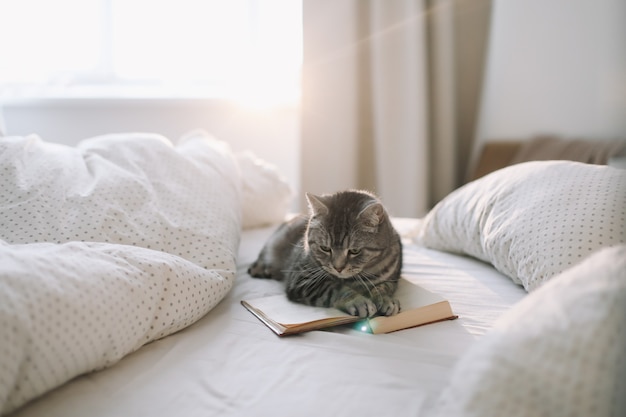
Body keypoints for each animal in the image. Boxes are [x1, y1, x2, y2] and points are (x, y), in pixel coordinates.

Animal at [246, 190, 402, 316]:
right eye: (325, 248)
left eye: (354, 251)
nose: (338, 268)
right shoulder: (302, 279)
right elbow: (336, 288)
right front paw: (358, 301)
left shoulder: (391, 278)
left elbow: (383, 288)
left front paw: (386, 300)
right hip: (276, 241)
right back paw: (262, 269)